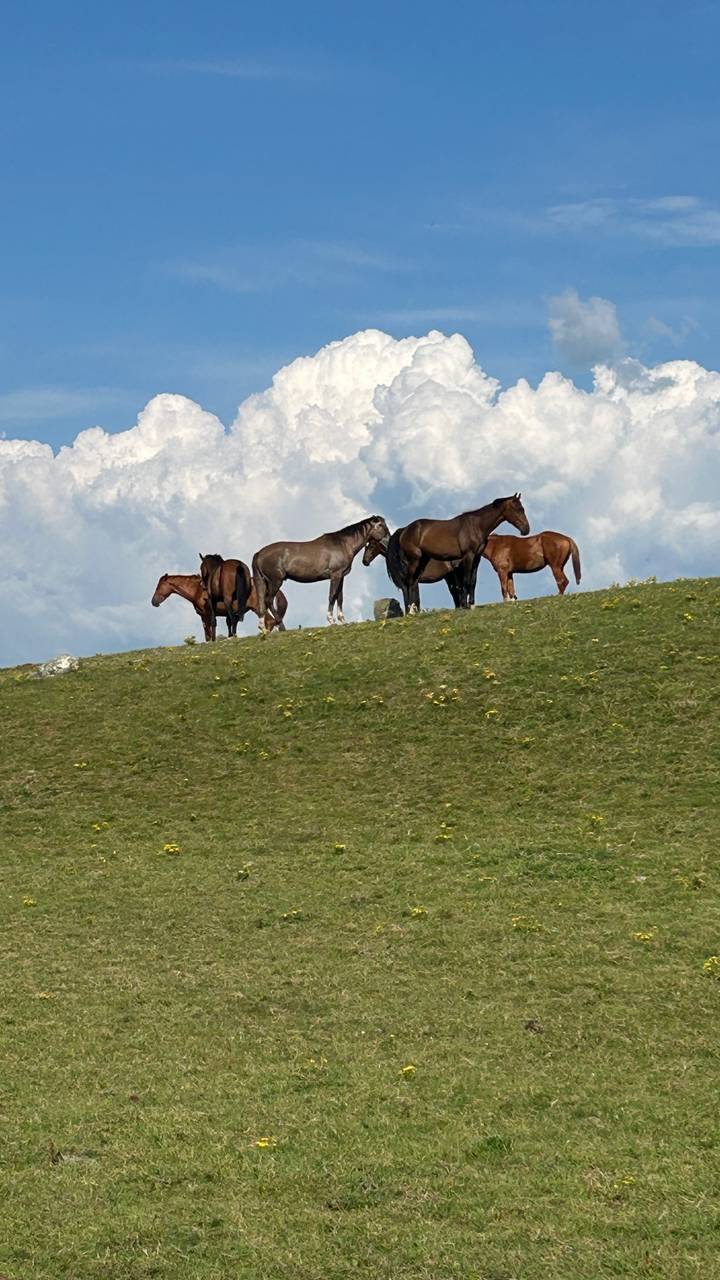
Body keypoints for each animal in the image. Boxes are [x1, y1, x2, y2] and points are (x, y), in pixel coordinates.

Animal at [151, 573, 288, 640]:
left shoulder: (206, 615)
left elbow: (209, 632)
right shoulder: (206, 616)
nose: (154, 601)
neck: (198, 590)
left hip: (258, 609)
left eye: (159, 586)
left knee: (270, 622)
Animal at [252, 515, 390, 630]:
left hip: (265, 582)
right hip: (276, 581)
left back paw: (263, 627)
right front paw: (331, 621)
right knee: (268, 600)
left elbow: (339, 597)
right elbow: (332, 596)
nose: (388, 540)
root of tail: (259, 553)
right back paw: (279, 624)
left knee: (263, 602)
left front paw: (343, 621)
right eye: (381, 525)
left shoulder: (341, 576)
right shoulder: (335, 575)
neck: (343, 544)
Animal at [394, 494, 530, 613]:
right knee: (409, 581)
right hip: (414, 559)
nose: (526, 529)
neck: (476, 526)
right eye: (518, 509)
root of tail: (405, 530)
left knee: (414, 582)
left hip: (423, 560)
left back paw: (414, 609)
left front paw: (472, 605)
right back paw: (410, 610)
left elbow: (473, 582)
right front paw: (465, 605)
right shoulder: (468, 556)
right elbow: (466, 581)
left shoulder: (476, 558)